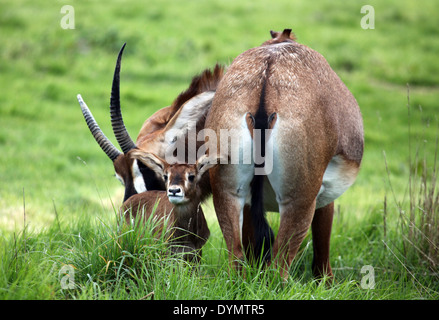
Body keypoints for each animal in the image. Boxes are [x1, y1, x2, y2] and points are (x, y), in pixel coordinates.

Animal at [206, 30, 364, 280]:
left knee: (237, 259)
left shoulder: (249, 203)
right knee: (278, 267)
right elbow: (322, 247)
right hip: (298, 202)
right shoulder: (324, 199)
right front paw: (325, 282)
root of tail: (267, 73)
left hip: (227, 193)